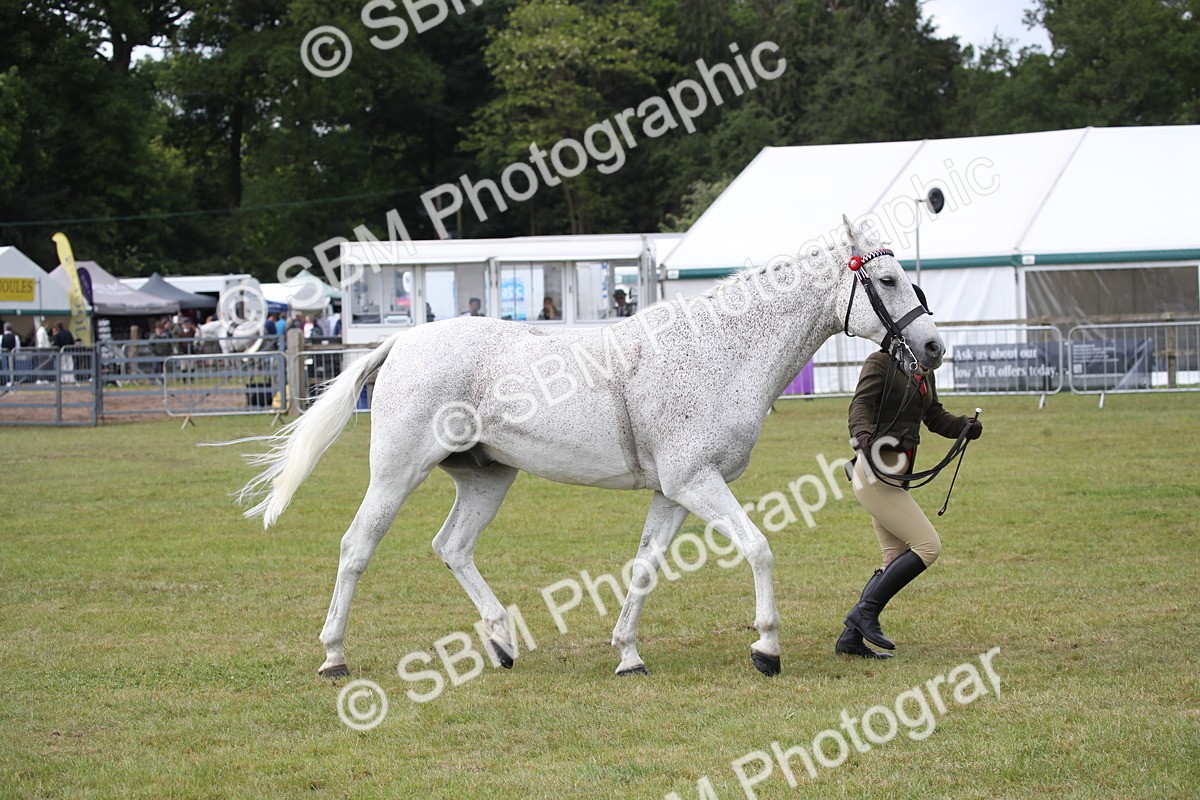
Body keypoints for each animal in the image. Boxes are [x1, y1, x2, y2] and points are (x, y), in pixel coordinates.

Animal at [233, 218, 945, 679]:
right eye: (886, 280)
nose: (934, 347)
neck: (718, 350)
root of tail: (404, 341)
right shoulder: (697, 482)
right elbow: (759, 548)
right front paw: (766, 649)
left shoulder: (673, 492)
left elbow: (645, 567)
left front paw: (628, 654)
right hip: (396, 474)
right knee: (357, 548)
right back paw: (334, 655)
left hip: (488, 478)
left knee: (452, 547)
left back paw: (501, 643)